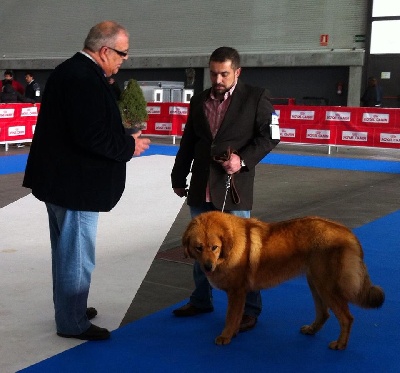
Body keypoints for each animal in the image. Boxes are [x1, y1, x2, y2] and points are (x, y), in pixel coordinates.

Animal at [184, 212, 384, 348]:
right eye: (198, 248)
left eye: (214, 247)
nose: (208, 267)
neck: (229, 248)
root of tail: (347, 232)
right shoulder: (239, 294)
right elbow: (236, 317)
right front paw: (233, 333)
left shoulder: (236, 292)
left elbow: (231, 318)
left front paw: (225, 336)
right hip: (315, 283)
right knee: (324, 313)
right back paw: (311, 330)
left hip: (326, 287)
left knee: (346, 318)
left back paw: (340, 345)